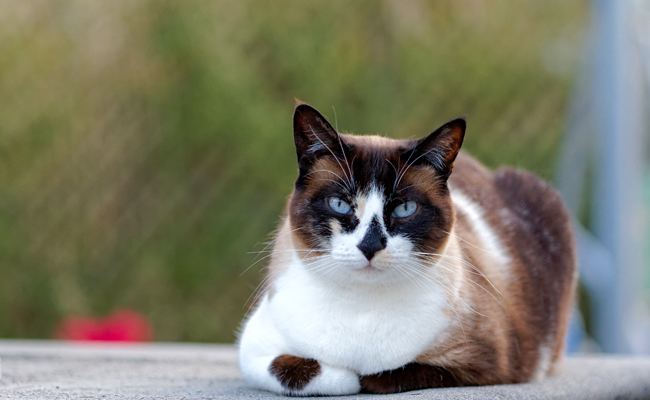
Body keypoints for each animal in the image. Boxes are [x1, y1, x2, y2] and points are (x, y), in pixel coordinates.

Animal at [238, 101, 576, 396]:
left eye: (405, 209)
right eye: (340, 204)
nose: (370, 245)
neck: (362, 308)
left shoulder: (483, 363)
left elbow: (382, 375)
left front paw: (357, 376)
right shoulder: (252, 351)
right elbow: (299, 370)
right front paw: (341, 373)